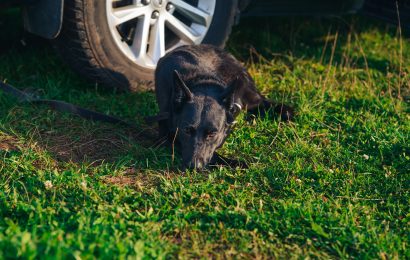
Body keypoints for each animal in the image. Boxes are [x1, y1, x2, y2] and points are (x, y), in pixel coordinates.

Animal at [147, 44, 292, 170]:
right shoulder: (166, 135)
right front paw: (235, 163)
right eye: (186, 130)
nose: (194, 166)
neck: (203, 83)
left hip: (247, 90)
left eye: (212, 134)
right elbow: (214, 156)